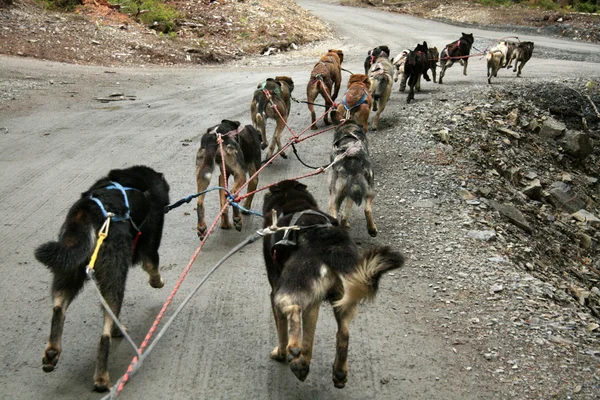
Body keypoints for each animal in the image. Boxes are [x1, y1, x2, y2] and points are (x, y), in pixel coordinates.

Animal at [34, 164, 170, 392]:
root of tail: (88, 211)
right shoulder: (150, 240)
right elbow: (152, 265)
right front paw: (157, 282)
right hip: (114, 274)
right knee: (105, 331)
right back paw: (101, 377)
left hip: (69, 265)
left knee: (59, 307)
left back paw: (52, 350)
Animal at [262, 180, 404, 390]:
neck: (291, 202)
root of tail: (331, 244)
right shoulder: (314, 303)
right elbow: (309, 339)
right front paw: (304, 361)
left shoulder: (274, 293)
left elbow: (282, 332)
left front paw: (281, 353)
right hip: (341, 299)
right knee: (343, 334)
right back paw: (336, 372)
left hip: (288, 290)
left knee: (293, 309)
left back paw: (294, 351)